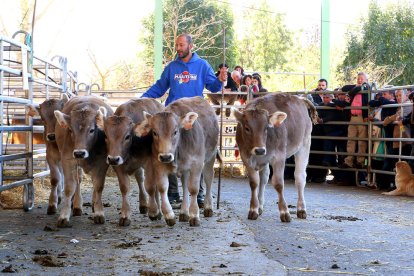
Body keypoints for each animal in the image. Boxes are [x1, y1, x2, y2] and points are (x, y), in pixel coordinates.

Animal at [54, 96, 115, 227]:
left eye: (92, 130)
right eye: (71, 130)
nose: (79, 153)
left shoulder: (102, 163)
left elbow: (98, 186)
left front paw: (99, 212)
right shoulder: (68, 160)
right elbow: (69, 187)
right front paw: (64, 216)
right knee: (78, 181)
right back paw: (77, 206)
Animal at [136, 96, 220, 226]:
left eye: (175, 132)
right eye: (154, 132)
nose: (166, 157)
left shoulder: (197, 163)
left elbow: (194, 189)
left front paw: (194, 215)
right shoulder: (158, 164)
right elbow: (162, 188)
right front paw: (169, 215)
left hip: (210, 157)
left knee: (208, 178)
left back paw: (208, 207)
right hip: (185, 168)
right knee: (185, 185)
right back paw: (184, 212)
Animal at [234, 94, 318, 223]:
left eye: (266, 128)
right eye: (247, 128)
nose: (260, 150)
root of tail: (299, 98)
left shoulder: (279, 157)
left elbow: (278, 184)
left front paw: (284, 212)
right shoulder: (246, 158)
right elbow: (254, 182)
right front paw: (254, 209)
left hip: (304, 144)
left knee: (300, 177)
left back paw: (301, 209)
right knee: (264, 178)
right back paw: (260, 206)